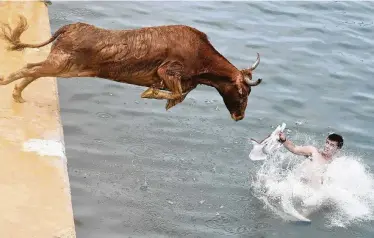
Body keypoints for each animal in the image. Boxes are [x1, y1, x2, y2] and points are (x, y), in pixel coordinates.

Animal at [0, 15, 262, 121]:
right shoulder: (168, 71)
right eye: (242, 93)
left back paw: (16, 92)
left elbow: (180, 95)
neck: (203, 65)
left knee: (33, 68)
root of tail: (67, 28)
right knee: (30, 69)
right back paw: (8, 84)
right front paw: (150, 93)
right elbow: (176, 93)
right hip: (61, 63)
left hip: (63, 66)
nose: (239, 116)